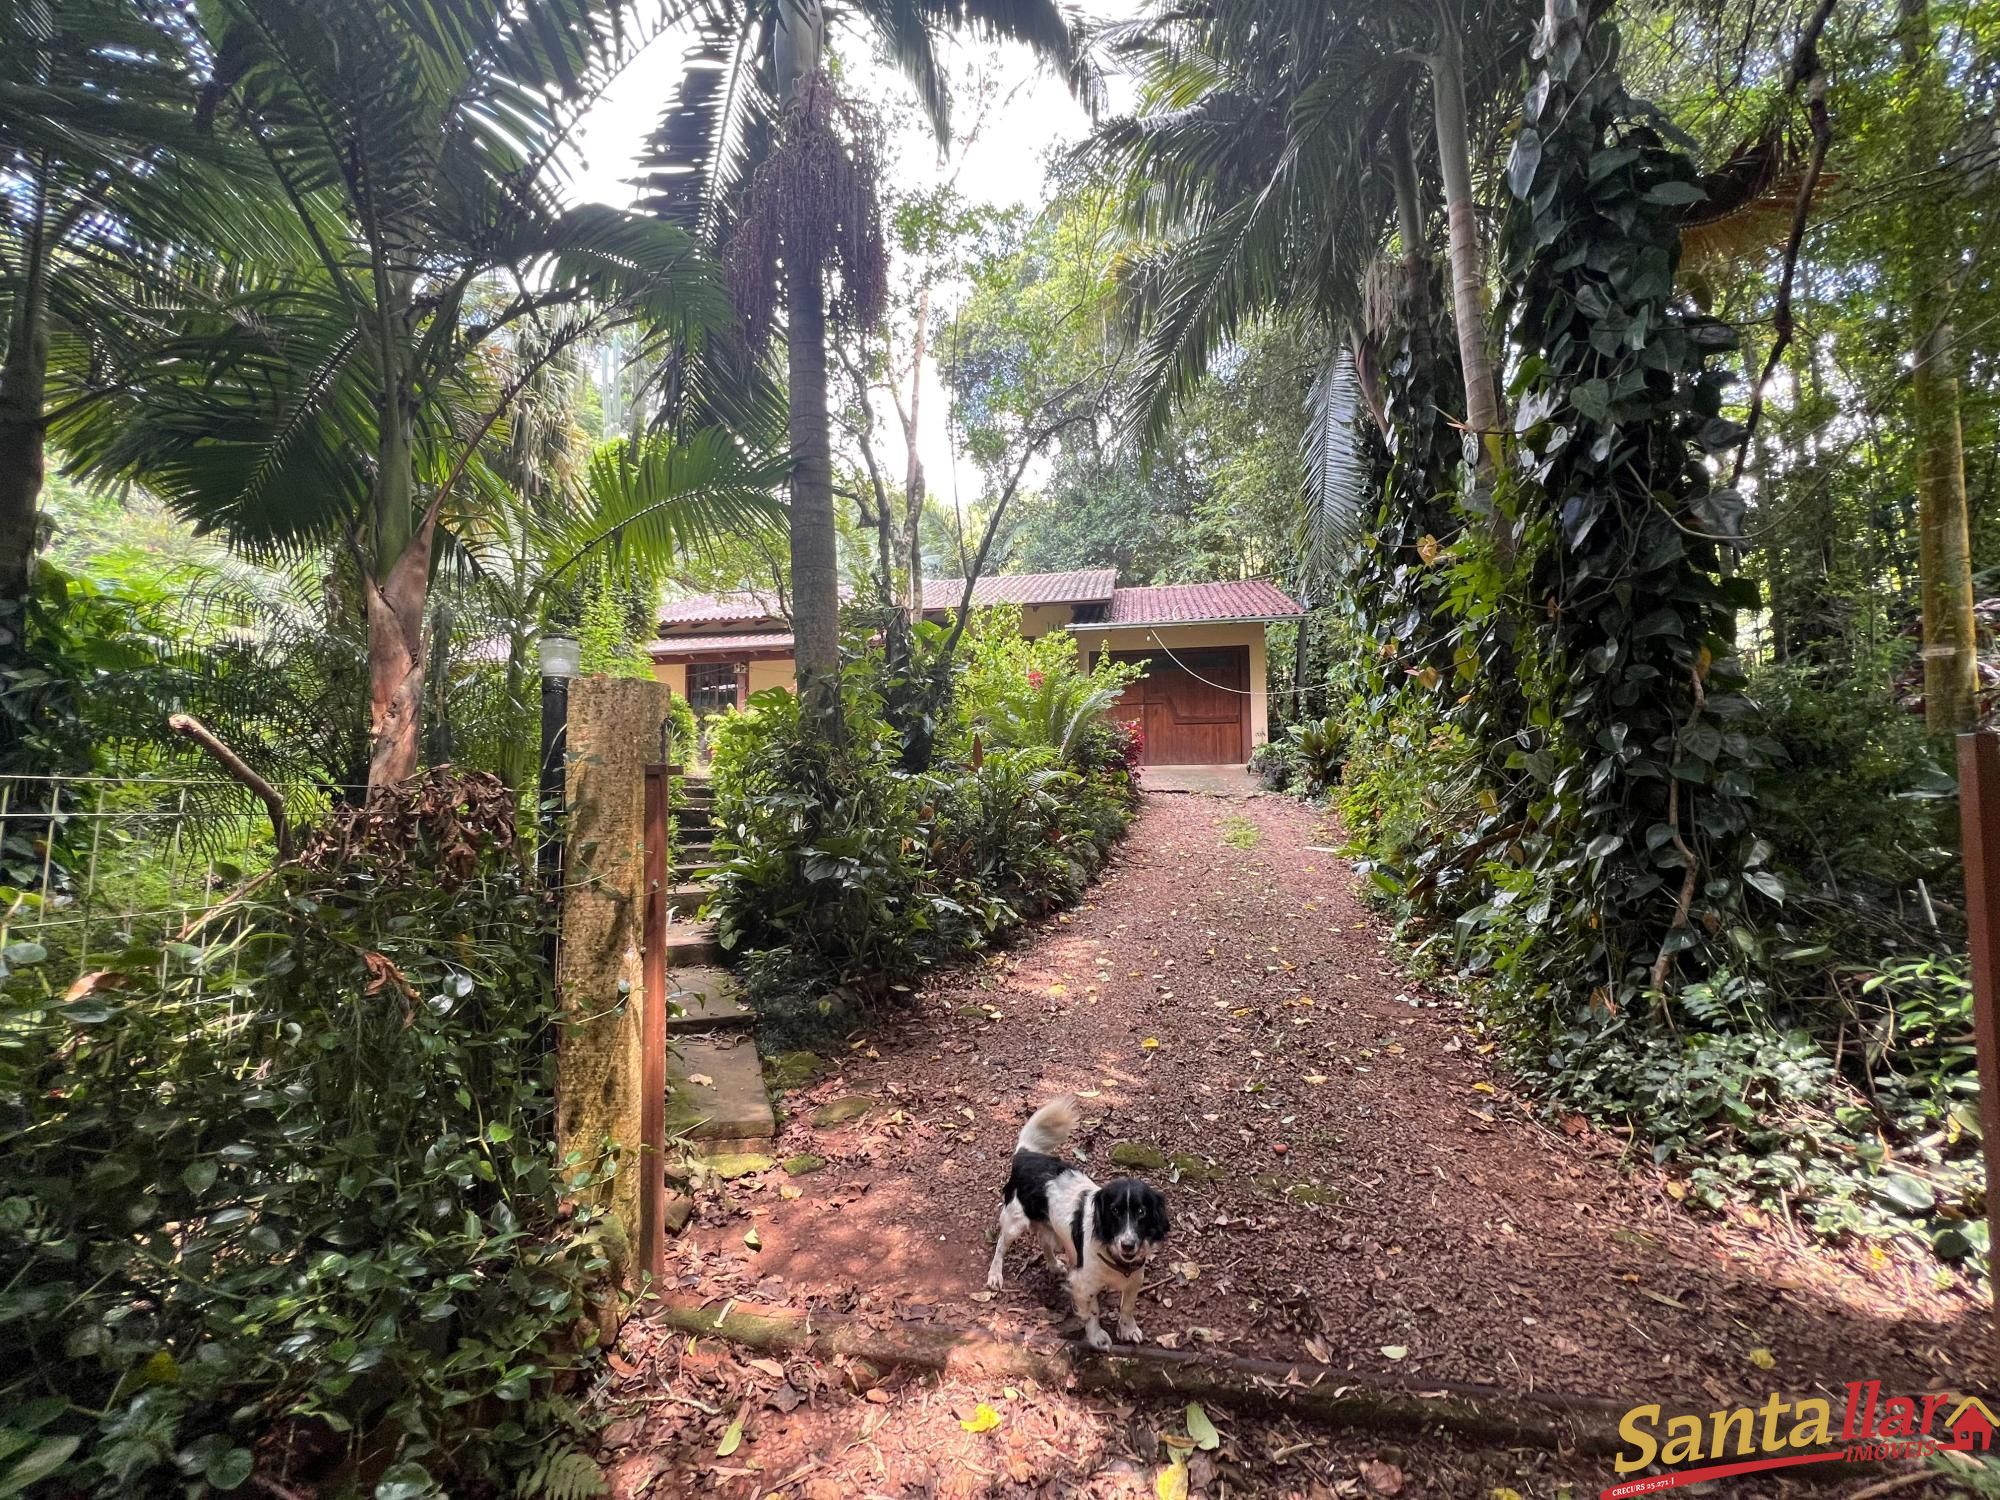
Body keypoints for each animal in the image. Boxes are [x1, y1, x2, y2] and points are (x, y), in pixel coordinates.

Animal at [988, 1096, 1168, 1360]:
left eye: (1141, 1212)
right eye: (1114, 1211)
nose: (1128, 1245)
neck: (1115, 1257)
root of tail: (1026, 1155)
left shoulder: (1136, 1278)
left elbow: (1127, 1306)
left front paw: (1128, 1329)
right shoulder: (1083, 1285)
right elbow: (1092, 1312)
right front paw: (1097, 1337)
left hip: (1050, 1227)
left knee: (1044, 1242)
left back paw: (1054, 1266)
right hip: (1015, 1222)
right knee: (1001, 1245)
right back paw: (994, 1275)